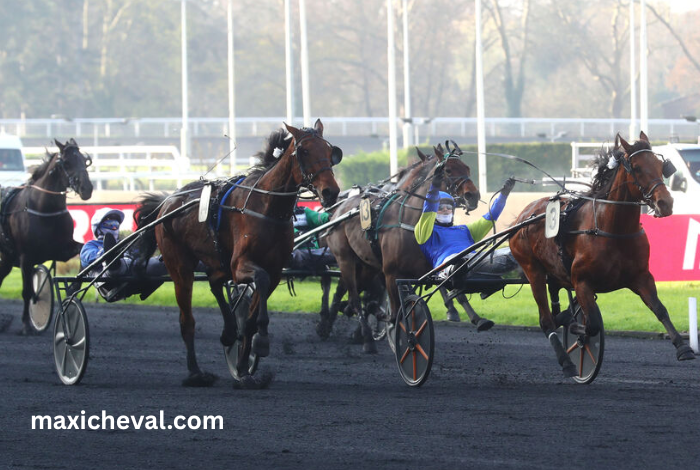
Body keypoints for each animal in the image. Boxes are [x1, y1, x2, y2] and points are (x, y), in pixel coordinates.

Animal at [0, 139, 93, 334]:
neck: (45, 210)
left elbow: (82, 249)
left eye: (84, 160)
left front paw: (74, 285)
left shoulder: (61, 250)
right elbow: (27, 292)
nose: (87, 188)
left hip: (7, 257)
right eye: (67, 162)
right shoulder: (26, 258)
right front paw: (26, 324)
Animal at [135, 122, 342, 390]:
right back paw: (196, 373)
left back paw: (229, 332)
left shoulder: (275, 269)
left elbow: (253, 312)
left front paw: (244, 366)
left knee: (214, 283)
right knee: (187, 319)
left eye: (330, 151)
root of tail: (167, 202)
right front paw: (261, 341)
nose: (331, 191)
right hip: (179, 265)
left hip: (216, 260)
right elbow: (260, 281)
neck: (267, 207)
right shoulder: (241, 264)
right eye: (304, 150)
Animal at [324, 146, 478, 352]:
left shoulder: (424, 269)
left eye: (467, 168)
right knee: (354, 297)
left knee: (352, 295)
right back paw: (366, 339)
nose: (473, 196)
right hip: (345, 259)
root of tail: (339, 209)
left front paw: (473, 317)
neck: (413, 223)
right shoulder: (391, 273)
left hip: (367, 265)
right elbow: (397, 311)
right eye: (448, 170)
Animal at [508, 132, 696, 378]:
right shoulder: (581, 282)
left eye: (659, 165)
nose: (665, 203)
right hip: (533, 270)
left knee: (554, 302)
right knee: (546, 320)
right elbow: (592, 324)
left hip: (554, 273)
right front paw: (576, 331)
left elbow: (660, 309)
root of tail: (521, 216)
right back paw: (566, 361)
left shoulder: (641, 276)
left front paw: (683, 347)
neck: (614, 230)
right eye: (637, 167)